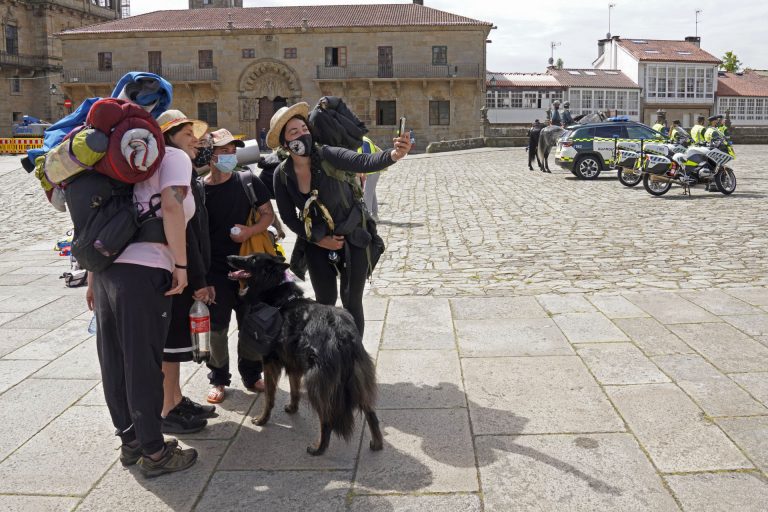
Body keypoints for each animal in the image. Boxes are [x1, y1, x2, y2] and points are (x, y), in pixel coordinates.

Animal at [228, 253, 384, 456]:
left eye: (253, 259)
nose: (229, 257)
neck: (277, 295)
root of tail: (343, 335)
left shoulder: (269, 362)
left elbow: (269, 396)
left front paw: (262, 419)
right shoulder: (294, 364)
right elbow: (294, 389)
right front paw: (292, 408)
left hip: (316, 384)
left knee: (327, 420)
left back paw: (318, 448)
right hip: (357, 379)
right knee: (371, 413)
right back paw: (377, 443)